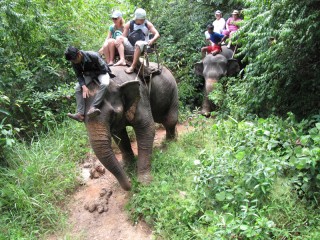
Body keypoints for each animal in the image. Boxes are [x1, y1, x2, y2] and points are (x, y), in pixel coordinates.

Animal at [82, 62, 179, 191]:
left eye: (112, 114)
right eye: (81, 119)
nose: (130, 182)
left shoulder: (140, 96)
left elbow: (147, 128)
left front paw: (144, 183)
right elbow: (119, 135)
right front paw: (127, 167)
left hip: (172, 89)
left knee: (169, 120)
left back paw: (170, 144)